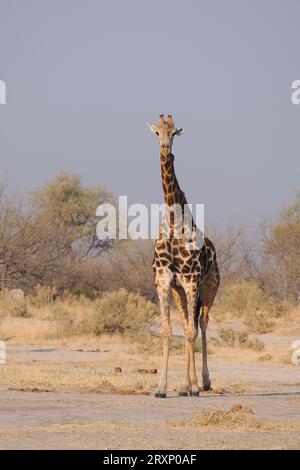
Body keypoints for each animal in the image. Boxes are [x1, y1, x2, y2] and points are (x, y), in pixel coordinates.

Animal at [148, 113, 220, 396]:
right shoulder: (164, 281)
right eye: (157, 132)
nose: (166, 148)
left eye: (174, 132)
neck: (173, 220)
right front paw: (161, 388)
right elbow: (168, 330)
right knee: (188, 322)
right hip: (180, 293)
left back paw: (202, 383)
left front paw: (193, 387)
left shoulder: (191, 282)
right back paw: (185, 385)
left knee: (201, 323)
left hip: (208, 288)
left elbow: (190, 333)